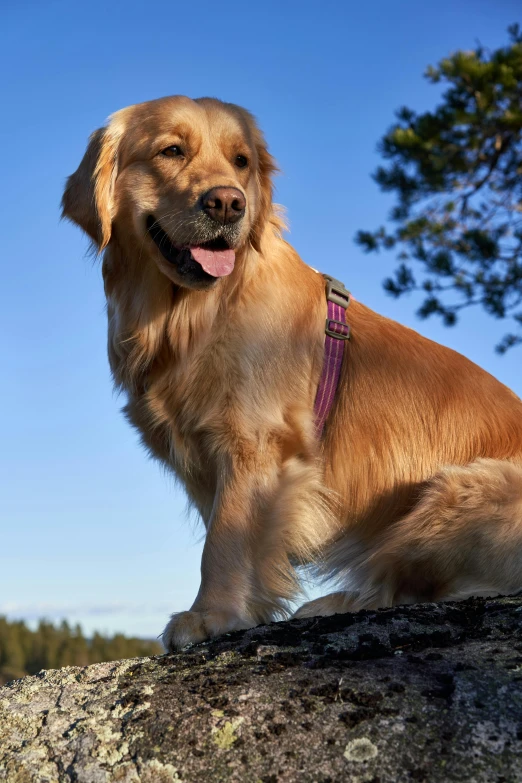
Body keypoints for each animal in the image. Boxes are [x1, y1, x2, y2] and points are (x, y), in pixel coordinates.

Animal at [63, 95, 520, 652]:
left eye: (241, 161)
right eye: (171, 151)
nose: (227, 203)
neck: (194, 314)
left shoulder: (255, 442)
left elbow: (224, 538)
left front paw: (211, 615)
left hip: (459, 489)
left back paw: (333, 604)